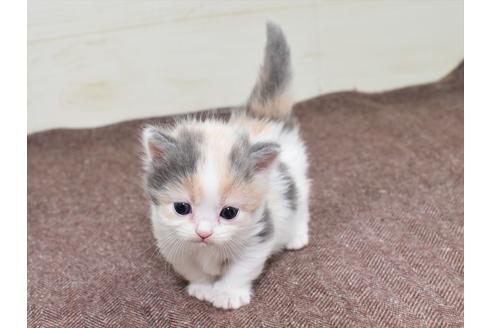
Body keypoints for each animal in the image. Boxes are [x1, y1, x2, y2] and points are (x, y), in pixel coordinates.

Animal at [140, 23, 310, 310]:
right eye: (181, 208)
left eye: (229, 212)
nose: (204, 233)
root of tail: (261, 118)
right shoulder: (168, 239)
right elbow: (191, 267)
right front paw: (201, 287)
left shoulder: (258, 235)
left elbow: (241, 268)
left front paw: (228, 294)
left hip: (297, 178)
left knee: (301, 201)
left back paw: (297, 235)